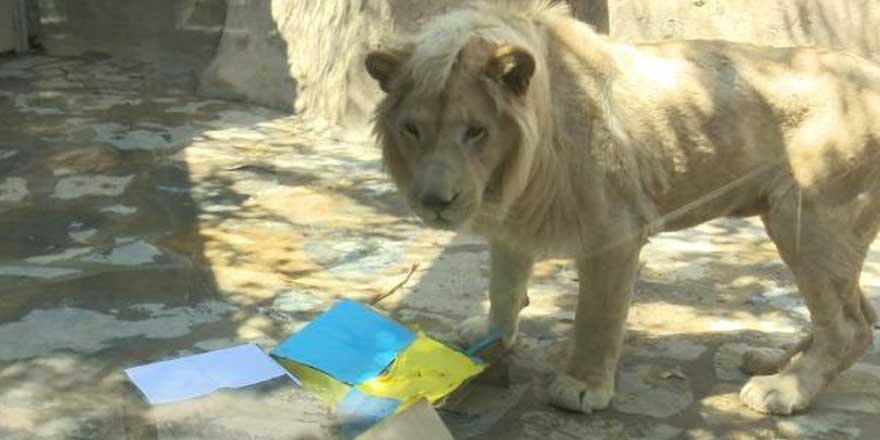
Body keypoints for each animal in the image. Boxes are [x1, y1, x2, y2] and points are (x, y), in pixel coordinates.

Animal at [360, 0, 876, 416]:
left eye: (475, 131)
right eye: (412, 129)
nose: (435, 203)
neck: (515, 171)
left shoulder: (614, 232)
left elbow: (597, 317)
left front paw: (582, 387)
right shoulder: (514, 225)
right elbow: (503, 288)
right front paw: (494, 335)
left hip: (810, 219)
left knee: (849, 328)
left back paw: (783, 389)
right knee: (859, 319)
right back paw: (771, 360)